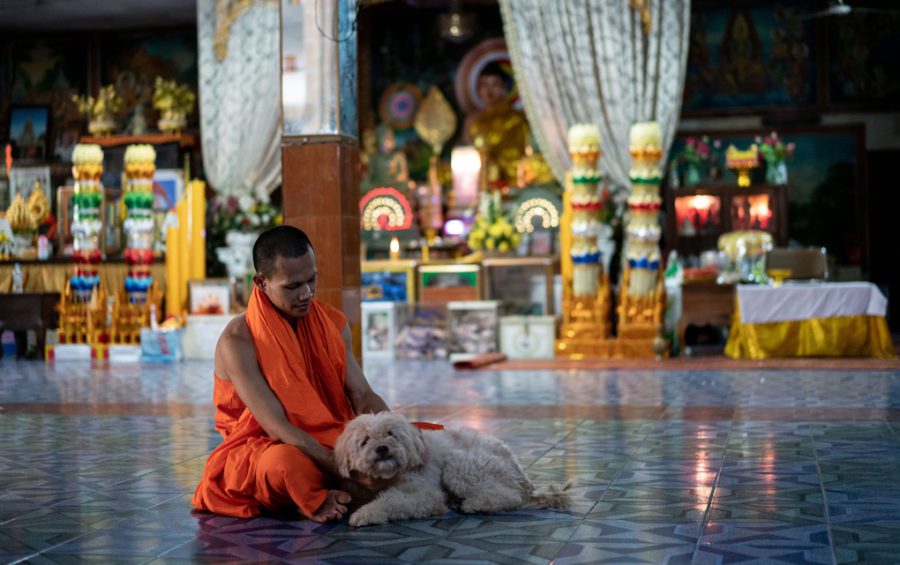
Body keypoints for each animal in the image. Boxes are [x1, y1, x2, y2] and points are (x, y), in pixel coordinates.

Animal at [330, 412, 568, 528]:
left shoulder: (426, 495)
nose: (382, 448)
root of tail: (523, 479)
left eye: (390, 434)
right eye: (365, 441)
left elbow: (392, 501)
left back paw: (473, 504)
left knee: (508, 496)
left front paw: (366, 514)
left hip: (459, 465)